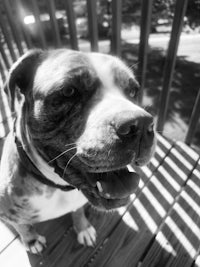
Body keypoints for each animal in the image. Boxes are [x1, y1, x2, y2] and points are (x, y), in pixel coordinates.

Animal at [0, 49, 156, 255]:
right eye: (68, 91)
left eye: (133, 91)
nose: (141, 124)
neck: (58, 186)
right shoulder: (9, 214)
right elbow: (23, 227)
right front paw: (31, 240)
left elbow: (78, 212)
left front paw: (83, 228)